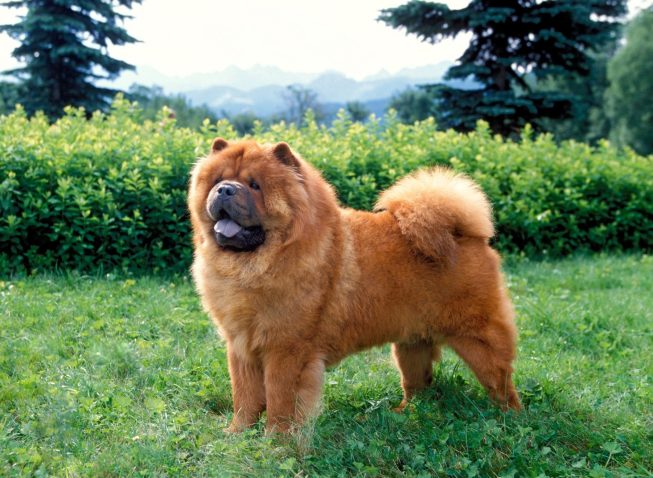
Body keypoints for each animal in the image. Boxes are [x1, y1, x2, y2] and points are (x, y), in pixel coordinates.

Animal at [188, 138, 520, 434]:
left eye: (255, 185)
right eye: (218, 180)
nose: (225, 189)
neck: (255, 265)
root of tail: (466, 234)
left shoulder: (286, 350)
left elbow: (280, 400)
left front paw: (276, 441)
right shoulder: (241, 346)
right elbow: (244, 397)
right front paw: (237, 434)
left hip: (477, 339)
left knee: (501, 380)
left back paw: (509, 419)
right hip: (410, 343)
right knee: (417, 383)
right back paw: (404, 413)